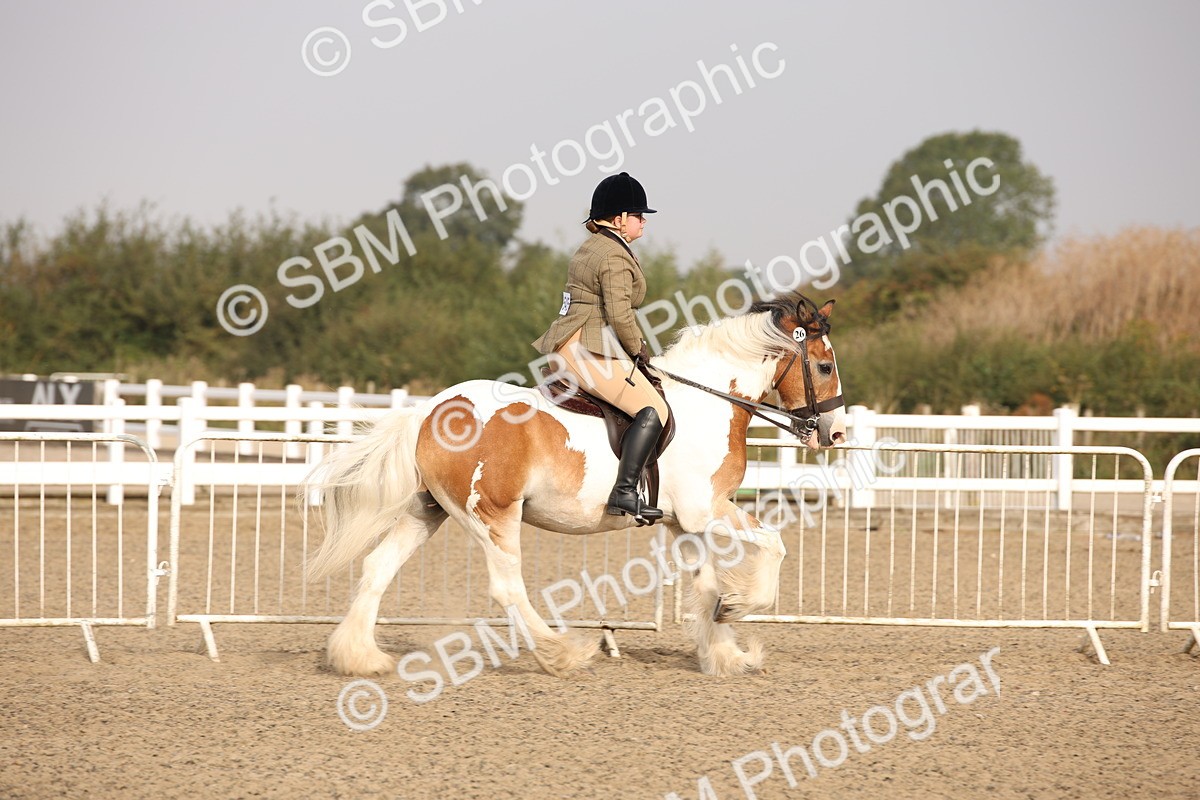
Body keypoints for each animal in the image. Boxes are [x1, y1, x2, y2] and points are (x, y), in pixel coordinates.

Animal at [304, 294, 846, 678]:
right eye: (824, 366)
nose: (834, 434)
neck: (708, 403)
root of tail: (428, 412)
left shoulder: (683, 523)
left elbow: (705, 582)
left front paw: (725, 653)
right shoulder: (706, 510)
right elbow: (773, 545)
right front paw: (738, 609)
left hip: (428, 511)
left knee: (378, 567)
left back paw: (358, 658)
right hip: (492, 515)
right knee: (506, 587)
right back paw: (561, 653)